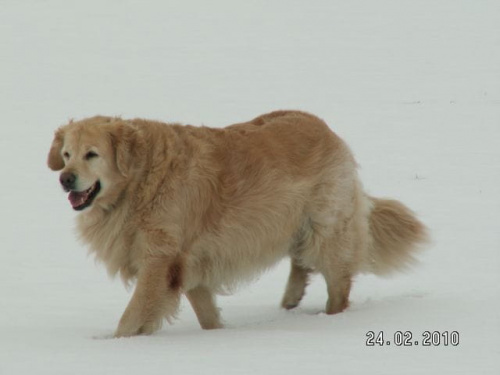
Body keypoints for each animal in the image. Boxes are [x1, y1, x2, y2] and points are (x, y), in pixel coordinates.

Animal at [48, 111, 428, 338]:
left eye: (92, 154)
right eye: (66, 155)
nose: (65, 179)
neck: (141, 180)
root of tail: (325, 127)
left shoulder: (160, 263)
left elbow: (131, 317)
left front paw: (115, 345)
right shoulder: (188, 265)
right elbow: (206, 313)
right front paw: (217, 335)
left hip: (326, 229)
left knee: (338, 282)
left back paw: (330, 317)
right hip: (294, 223)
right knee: (300, 261)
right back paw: (290, 301)